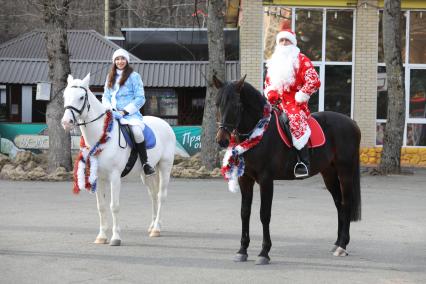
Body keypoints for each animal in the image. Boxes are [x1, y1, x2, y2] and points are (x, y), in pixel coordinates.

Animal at [60, 74, 176, 245]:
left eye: (81, 97)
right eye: (65, 96)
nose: (66, 122)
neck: (102, 137)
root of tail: (165, 124)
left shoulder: (114, 177)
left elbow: (114, 206)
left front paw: (115, 238)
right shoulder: (98, 177)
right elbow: (101, 206)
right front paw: (101, 237)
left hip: (165, 167)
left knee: (161, 196)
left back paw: (157, 229)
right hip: (147, 174)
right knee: (153, 195)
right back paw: (152, 225)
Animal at [215, 75, 362, 264]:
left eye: (236, 106)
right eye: (217, 104)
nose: (222, 140)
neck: (258, 132)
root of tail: (352, 123)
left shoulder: (266, 180)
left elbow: (264, 214)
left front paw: (264, 252)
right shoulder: (245, 179)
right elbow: (244, 212)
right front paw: (242, 250)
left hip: (345, 171)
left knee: (347, 203)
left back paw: (343, 246)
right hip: (329, 173)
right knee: (339, 204)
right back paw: (338, 243)